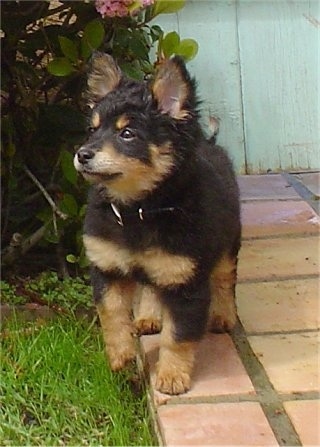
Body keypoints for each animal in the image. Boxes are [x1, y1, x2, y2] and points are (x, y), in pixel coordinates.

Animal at [74, 55, 241, 396]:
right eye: (92, 129)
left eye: (127, 134)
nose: (82, 154)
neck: (137, 209)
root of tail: (211, 143)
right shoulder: (107, 267)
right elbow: (111, 314)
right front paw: (120, 355)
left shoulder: (184, 281)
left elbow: (178, 336)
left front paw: (172, 377)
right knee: (151, 287)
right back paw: (149, 317)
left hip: (227, 245)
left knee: (224, 280)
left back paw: (223, 316)